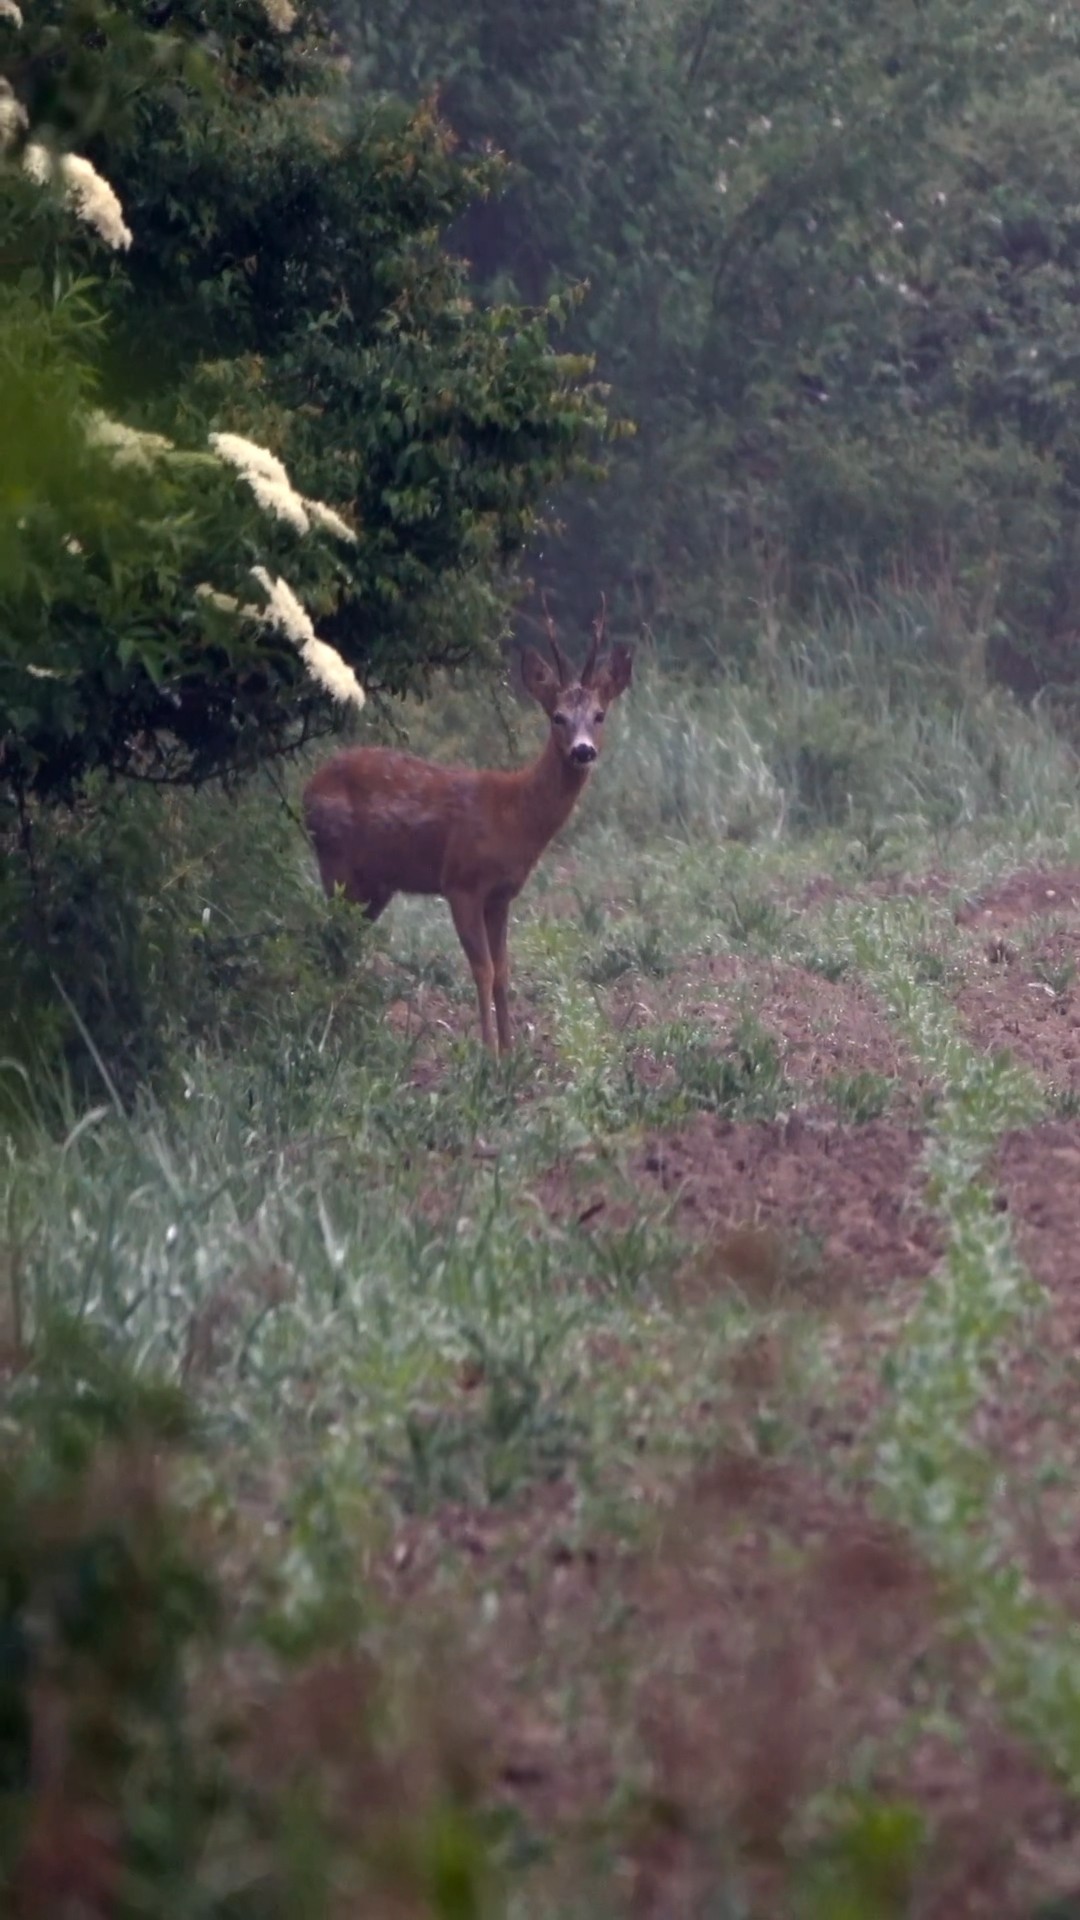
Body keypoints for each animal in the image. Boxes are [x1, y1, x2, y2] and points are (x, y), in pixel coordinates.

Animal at [303, 595, 630, 1052]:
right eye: (557, 717)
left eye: (599, 715)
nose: (583, 751)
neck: (514, 817)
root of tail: (308, 789)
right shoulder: (461, 882)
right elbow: (483, 970)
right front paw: (488, 1052)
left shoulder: (501, 895)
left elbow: (504, 970)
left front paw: (512, 1051)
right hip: (334, 858)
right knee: (329, 934)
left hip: (376, 883)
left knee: (344, 940)